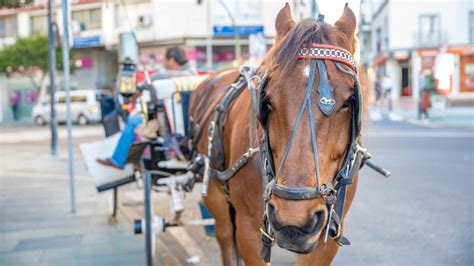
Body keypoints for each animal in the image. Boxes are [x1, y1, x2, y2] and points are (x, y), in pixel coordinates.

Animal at [188, 4, 362, 266]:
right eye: (268, 99)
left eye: (348, 101)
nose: (293, 220)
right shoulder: (250, 232)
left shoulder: (327, 239)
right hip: (216, 197)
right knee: (226, 238)